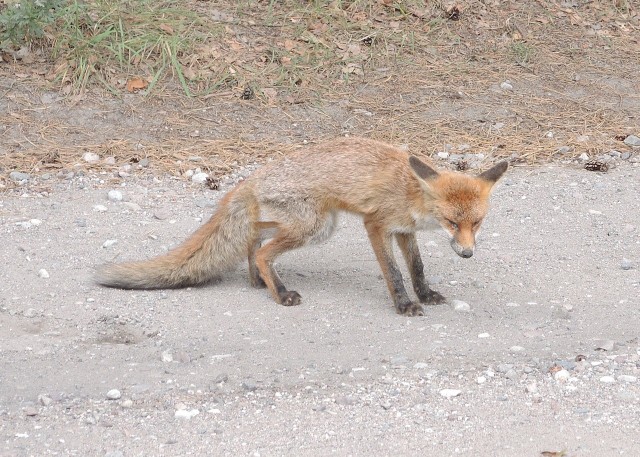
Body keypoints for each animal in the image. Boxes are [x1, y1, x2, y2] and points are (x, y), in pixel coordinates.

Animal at [95, 135, 508, 316]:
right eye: (452, 222)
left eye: (477, 222)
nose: (467, 253)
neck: (410, 192)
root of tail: (253, 176)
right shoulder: (376, 225)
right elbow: (394, 273)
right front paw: (405, 304)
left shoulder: (404, 231)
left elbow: (417, 267)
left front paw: (425, 294)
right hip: (317, 226)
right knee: (264, 250)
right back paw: (278, 292)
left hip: (308, 223)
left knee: (254, 237)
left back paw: (257, 280)